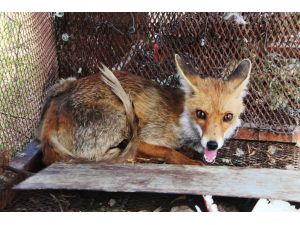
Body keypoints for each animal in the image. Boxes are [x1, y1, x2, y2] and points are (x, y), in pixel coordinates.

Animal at [36, 54, 252, 165]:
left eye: (228, 117)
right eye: (201, 114)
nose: (212, 145)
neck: (182, 122)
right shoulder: (142, 138)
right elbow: (169, 152)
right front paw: (190, 162)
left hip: (66, 82)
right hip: (121, 120)